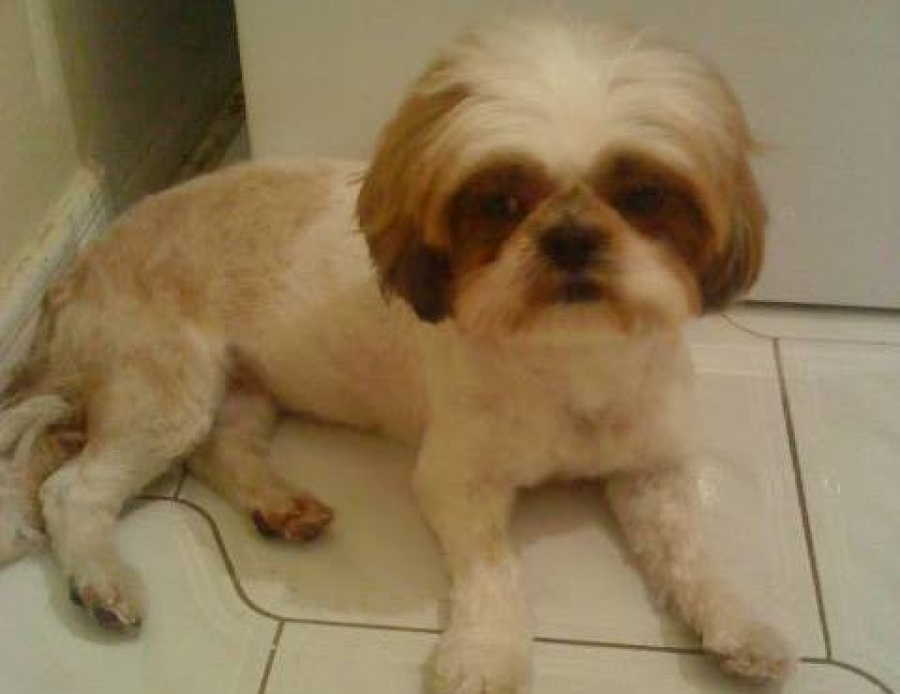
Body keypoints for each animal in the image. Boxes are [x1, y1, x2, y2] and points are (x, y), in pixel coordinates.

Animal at [0, 16, 792, 692]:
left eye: (644, 195)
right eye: (500, 202)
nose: (570, 236)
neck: (571, 355)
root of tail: (78, 271)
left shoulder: (654, 467)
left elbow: (690, 552)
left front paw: (737, 621)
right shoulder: (457, 479)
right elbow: (494, 567)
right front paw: (487, 652)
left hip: (239, 393)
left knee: (222, 448)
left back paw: (277, 505)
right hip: (166, 387)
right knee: (72, 489)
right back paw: (101, 580)